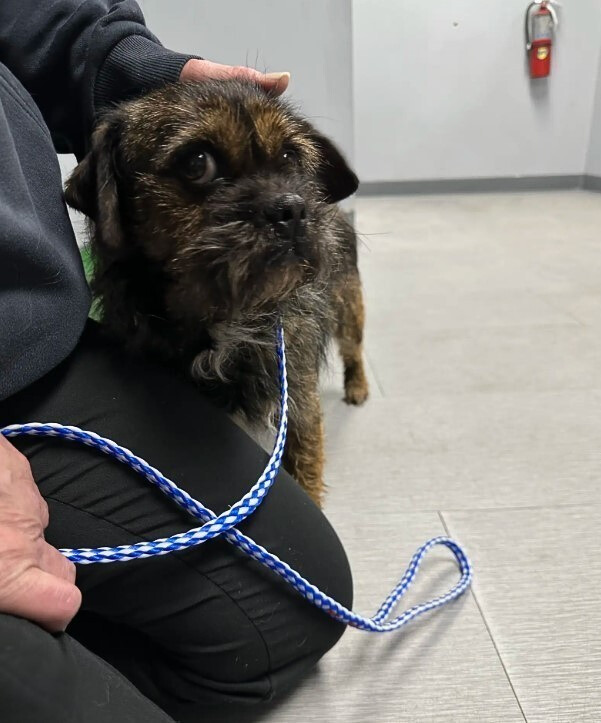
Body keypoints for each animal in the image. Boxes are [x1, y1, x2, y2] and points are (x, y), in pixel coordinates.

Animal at [63, 80, 368, 510]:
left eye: (291, 157)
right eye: (197, 163)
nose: (292, 208)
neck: (225, 318)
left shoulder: (299, 406)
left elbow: (307, 474)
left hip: (348, 304)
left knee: (353, 348)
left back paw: (357, 387)